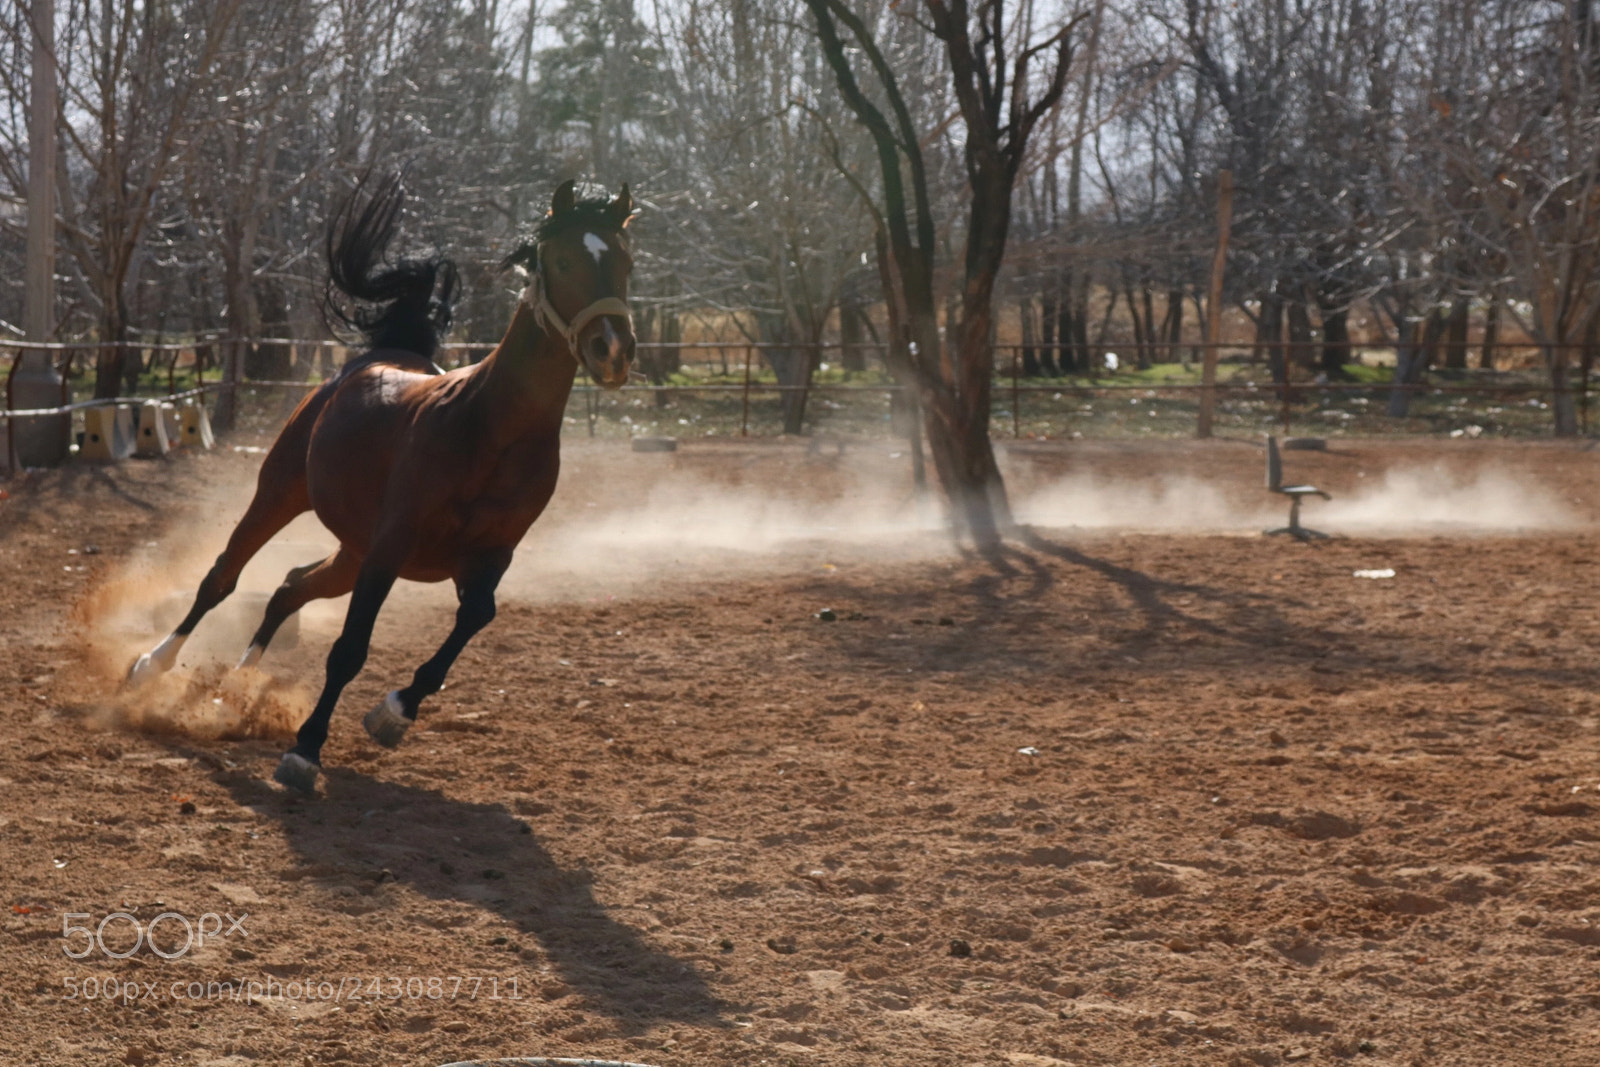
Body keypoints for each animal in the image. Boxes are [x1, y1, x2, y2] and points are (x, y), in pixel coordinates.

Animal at [124, 174, 637, 794]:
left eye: (627, 261)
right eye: (561, 260)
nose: (613, 350)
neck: (489, 427)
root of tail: (378, 357)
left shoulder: (490, 555)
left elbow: (475, 619)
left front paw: (394, 712)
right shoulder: (392, 547)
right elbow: (349, 649)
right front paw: (305, 750)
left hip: (351, 551)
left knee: (289, 588)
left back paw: (235, 689)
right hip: (281, 494)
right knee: (222, 578)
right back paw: (149, 667)